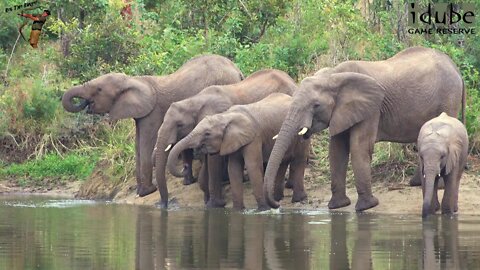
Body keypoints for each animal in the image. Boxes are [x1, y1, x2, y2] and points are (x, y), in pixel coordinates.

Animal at [62, 55, 244, 198]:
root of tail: (238, 71)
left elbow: (146, 144)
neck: (134, 80)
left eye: (99, 89)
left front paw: (147, 191)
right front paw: (140, 191)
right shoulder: (141, 115)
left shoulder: (153, 113)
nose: (85, 104)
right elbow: (137, 146)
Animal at [155, 68, 296, 208]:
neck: (194, 101)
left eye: (179, 125)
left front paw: (214, 204)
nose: (163, 205)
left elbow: (214, 161)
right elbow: (208, 159)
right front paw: (208, 201)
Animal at [165, 93, 310, 211]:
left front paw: (263, 209)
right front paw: (238, 210)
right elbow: (233, 168)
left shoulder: (253, 137)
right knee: (283, 161)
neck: (226, 116)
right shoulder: (233, 140)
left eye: (207, 134)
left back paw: (297, 199)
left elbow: (252, 166)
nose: (184, 167)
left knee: (298, 159)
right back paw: (277, 198)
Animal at [262, 46, 464, 211]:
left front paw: (367, 206)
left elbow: (359, 147)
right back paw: (415, 183)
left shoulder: (371, 107)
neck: (333, 76)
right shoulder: (342, 111)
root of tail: (455, 68)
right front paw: (337, 206)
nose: (277, 204)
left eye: (316, 105)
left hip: (449, 97)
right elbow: (336, 150)